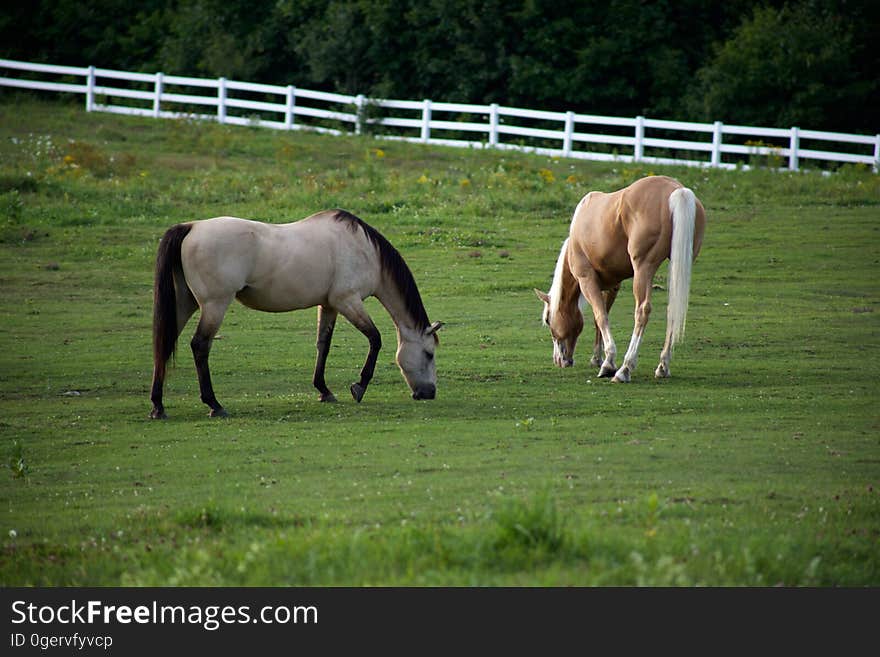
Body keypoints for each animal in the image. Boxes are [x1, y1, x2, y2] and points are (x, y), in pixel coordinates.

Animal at [150, 208, 446, 418]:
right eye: (429, 354)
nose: (429, 393)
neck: (364, 250)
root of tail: (191, 227)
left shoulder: (329, 305)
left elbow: (323, 344)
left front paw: (324, 390)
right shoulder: (348, 301)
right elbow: (375, 339)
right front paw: (359, 387)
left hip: (185, 303)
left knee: (164, 343)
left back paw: (158, 406)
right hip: (215, 305)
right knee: (200, 346)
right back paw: (214, 404)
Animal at [532, 174, 704, 382]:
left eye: (548, 320)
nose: (559, 360)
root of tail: (677, 190)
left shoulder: (587, 279)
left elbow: (601, 316)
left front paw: (608, 364)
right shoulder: (613, 285)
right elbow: (600, 318)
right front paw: (597, 358)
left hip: (643, 269)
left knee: (642, 311)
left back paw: (625, 369)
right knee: (673, 309)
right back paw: (662, 366)